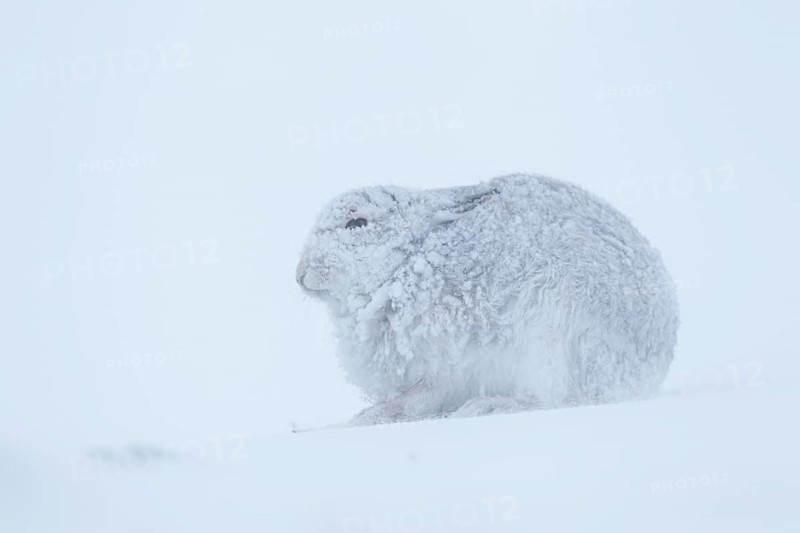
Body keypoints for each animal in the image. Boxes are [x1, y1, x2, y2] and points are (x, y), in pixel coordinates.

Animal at [296, 173, 679, 425]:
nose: (300, 274)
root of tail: (650, 367)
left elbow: (414, 399)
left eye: (356, 222)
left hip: (554, 331)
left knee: (552, 399)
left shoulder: (445, 364)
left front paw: (363, 418)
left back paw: (487, 407)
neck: (407, 259)